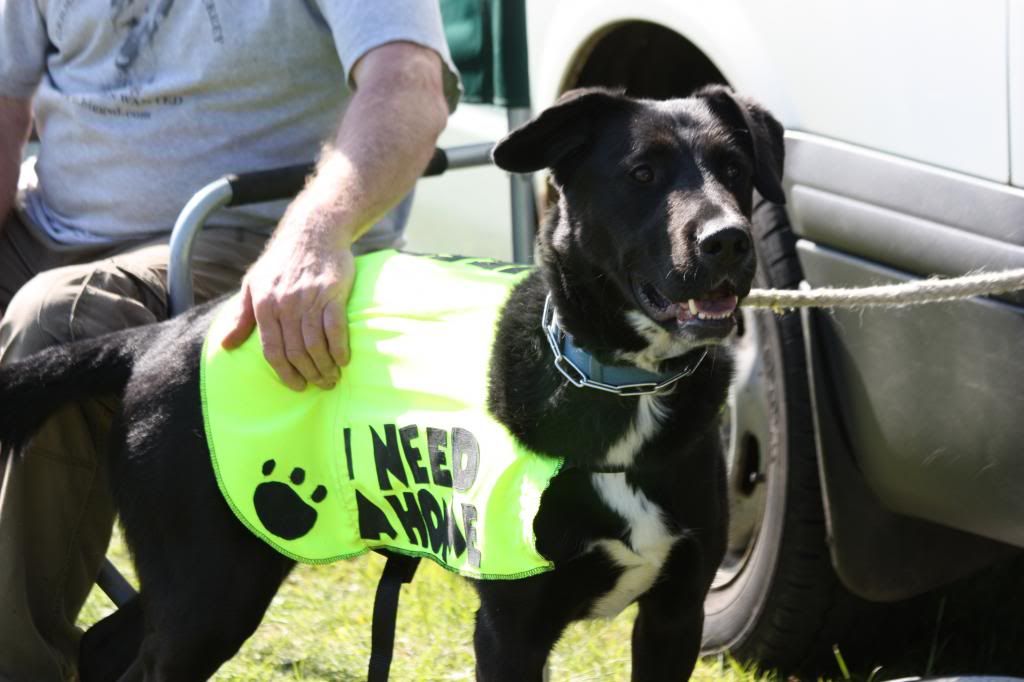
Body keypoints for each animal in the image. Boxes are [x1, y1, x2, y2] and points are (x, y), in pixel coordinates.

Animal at [0, 86, 782, 679]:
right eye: (642, 173)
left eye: (735, 168)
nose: (729, 241)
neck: (620, 387)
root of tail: (167, 333)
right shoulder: (511, 627)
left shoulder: (675, 616)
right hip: (209, 590)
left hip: (218, 570)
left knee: (105, 646)